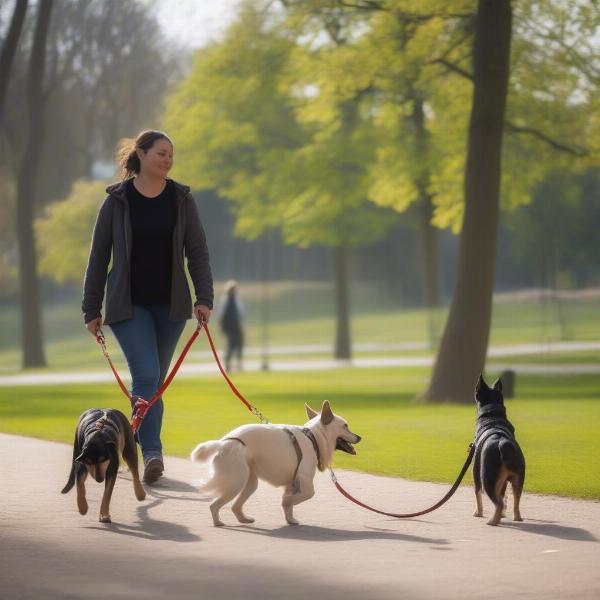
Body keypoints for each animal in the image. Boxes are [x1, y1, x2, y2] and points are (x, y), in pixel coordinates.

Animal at [192, 404, 360, 524]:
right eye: (345, 426)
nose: (360, 437)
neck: (312, 436)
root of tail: (222, 443)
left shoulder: (293, 484)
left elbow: (290, 507)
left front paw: (290, 520)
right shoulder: (305, 480)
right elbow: (302, 496)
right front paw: (286, 503)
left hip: (250, 483)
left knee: (235, 506)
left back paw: (243, 519)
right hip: (236, 482)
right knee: (214, 505)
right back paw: (218, 522)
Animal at [474, 376, 524, 524]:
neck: (493, 417)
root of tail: (503, 442)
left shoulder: (476, 472)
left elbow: (477, 493)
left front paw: (478, 513)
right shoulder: (503, 481)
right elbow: (503, 495)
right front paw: (502, 515)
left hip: (487, 478)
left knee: (498, 502)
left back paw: (492, 521)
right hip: (518, 479)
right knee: (515, 501)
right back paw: (517, 518)